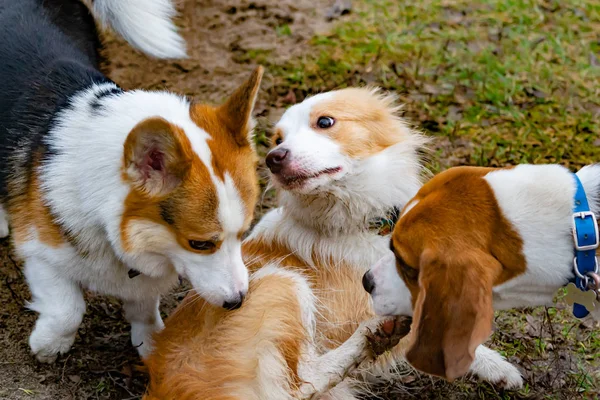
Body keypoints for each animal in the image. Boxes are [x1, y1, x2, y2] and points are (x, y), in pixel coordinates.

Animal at [145, 88, 524, 400]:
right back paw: (370, 338)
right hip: (282, 281)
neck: (358, 220)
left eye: (325, 121)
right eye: (277, 138)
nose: (273, 157)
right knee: (302, 383)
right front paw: (494, 364)